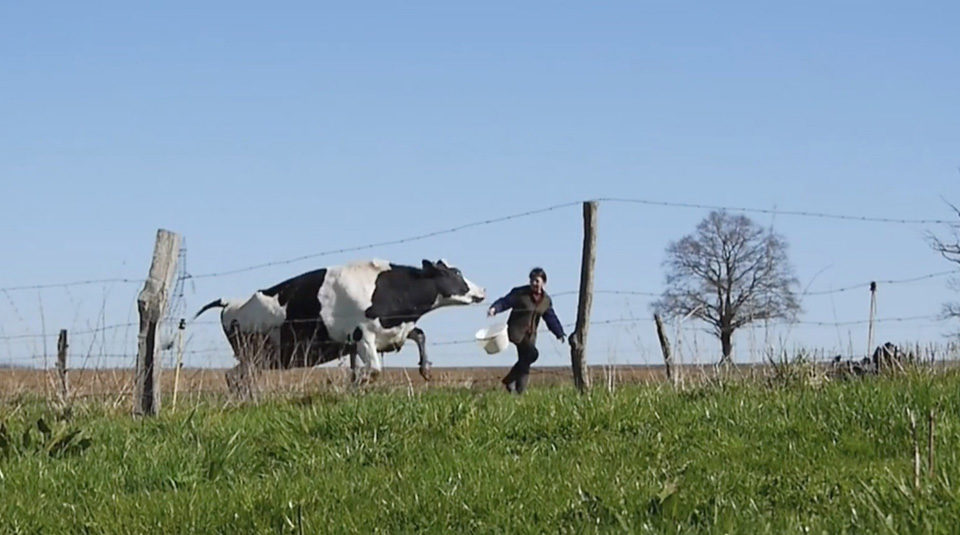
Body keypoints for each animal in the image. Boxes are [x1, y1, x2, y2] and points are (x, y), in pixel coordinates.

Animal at [194, 259, 485, 395]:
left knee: (237, 376)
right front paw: (358, 385)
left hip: (258, 358)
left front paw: (425, 369)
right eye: (455, 274)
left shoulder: (393, 331)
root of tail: (230, 301)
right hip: (254, 353)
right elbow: (374, 370)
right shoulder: (362, 336)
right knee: (235, 377)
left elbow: (420, 335)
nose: (482, 290)